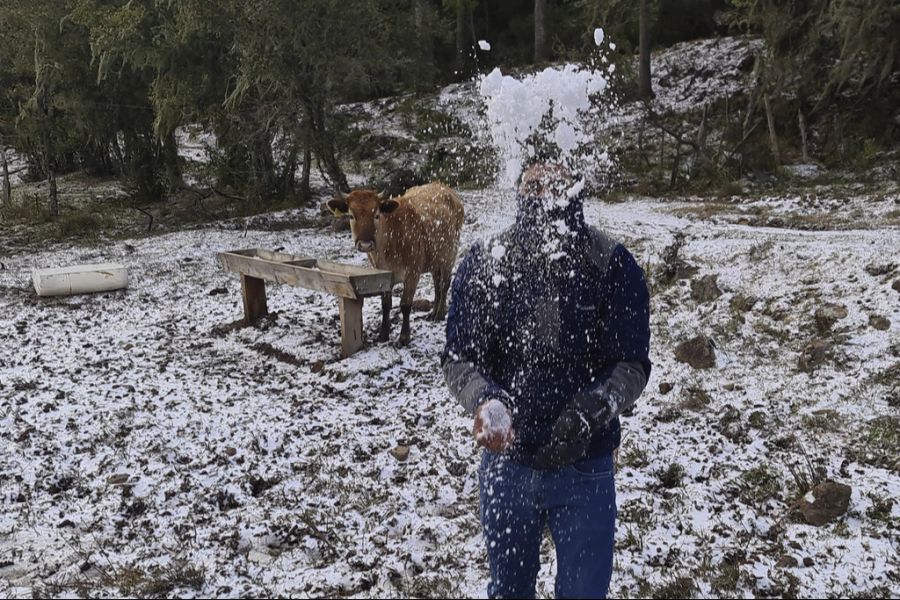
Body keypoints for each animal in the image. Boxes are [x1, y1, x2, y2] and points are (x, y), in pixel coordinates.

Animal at [326, 183, 464, 344]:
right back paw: (433, 312)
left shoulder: (413, 272)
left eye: (377, 215)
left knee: (444, 284)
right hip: (435, 258)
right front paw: (383, 334)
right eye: (351, 215)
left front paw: (404, 336)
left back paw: (440, 313)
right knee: (437, 283)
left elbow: (405, 305)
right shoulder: (383, 276)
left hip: (450, 254)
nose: (365, 244)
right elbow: (386, 305)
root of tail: (441, 185)